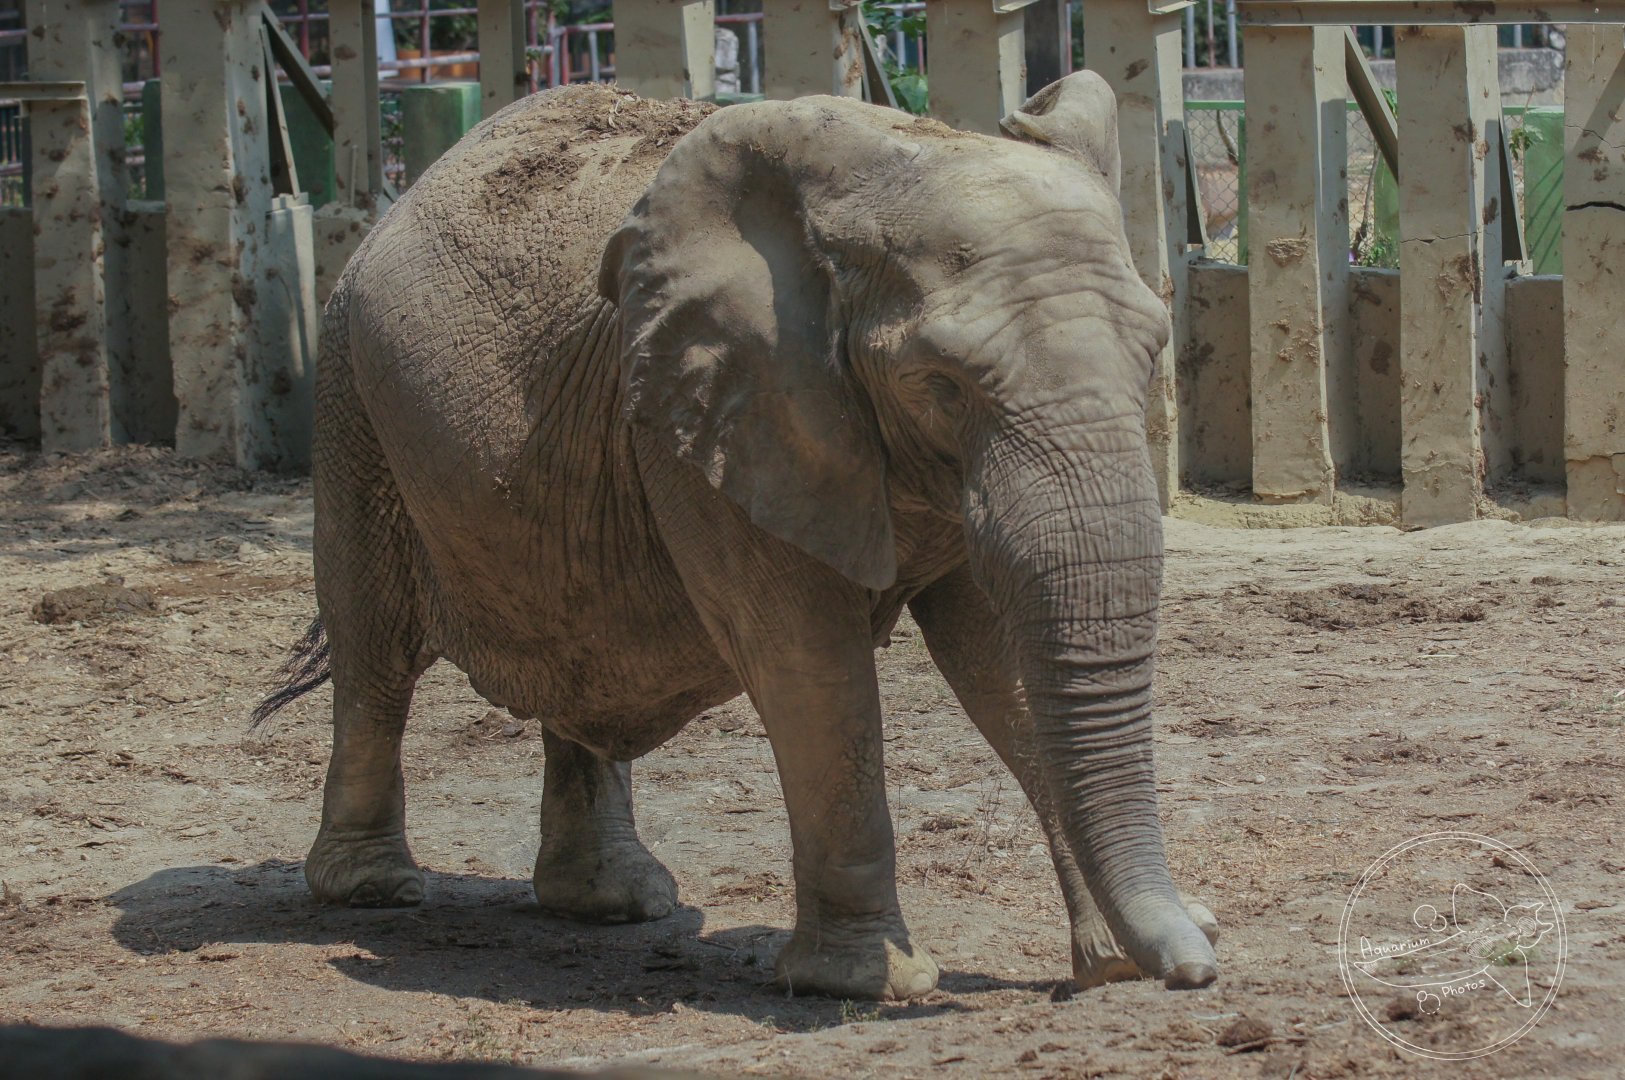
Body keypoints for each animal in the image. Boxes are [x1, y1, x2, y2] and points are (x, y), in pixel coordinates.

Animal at [255, 72, 1219, 1002]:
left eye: (1153, 353)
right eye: (938, 383)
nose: (1199, 973)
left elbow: (1002, 658)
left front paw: (1119, 963)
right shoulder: (715, 412)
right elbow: (804, 656)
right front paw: (869, 986)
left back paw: (613, 900)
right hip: (349, 391)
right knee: (374, 640)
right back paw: (372, 888)